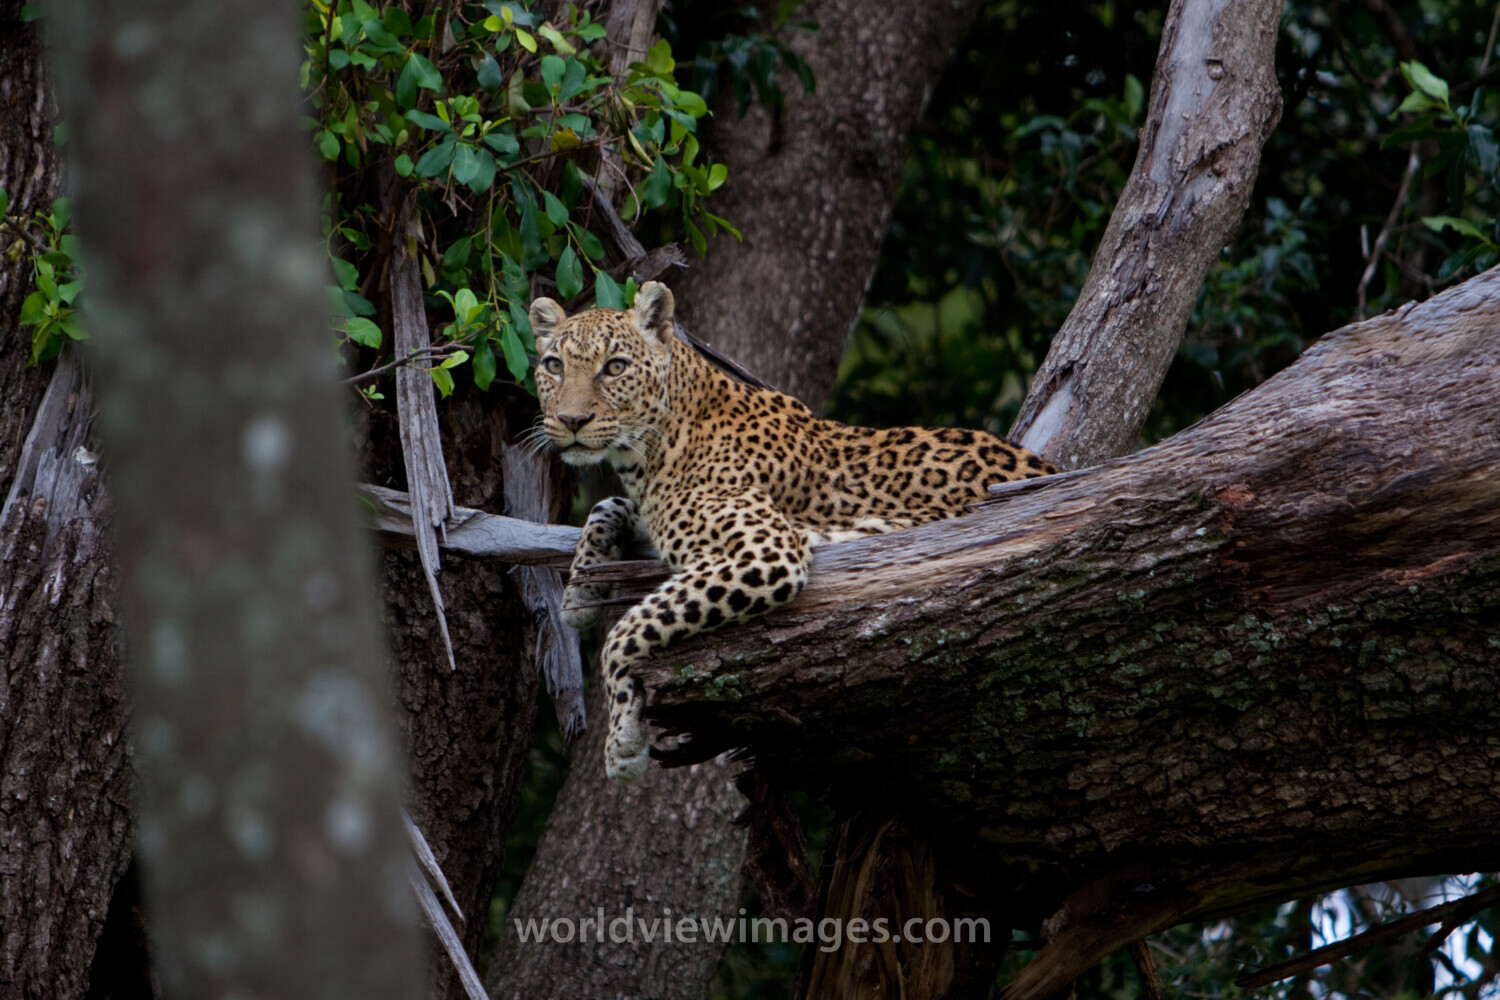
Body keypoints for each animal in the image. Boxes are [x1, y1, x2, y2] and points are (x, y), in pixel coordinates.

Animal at [529, 281, 1055, 782]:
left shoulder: (768, 552)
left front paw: (623, 742)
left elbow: (630, 627)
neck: (650, 453)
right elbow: (607, 506)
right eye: (554, 366)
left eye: (615, 367)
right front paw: (580, 593)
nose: (571, 421)